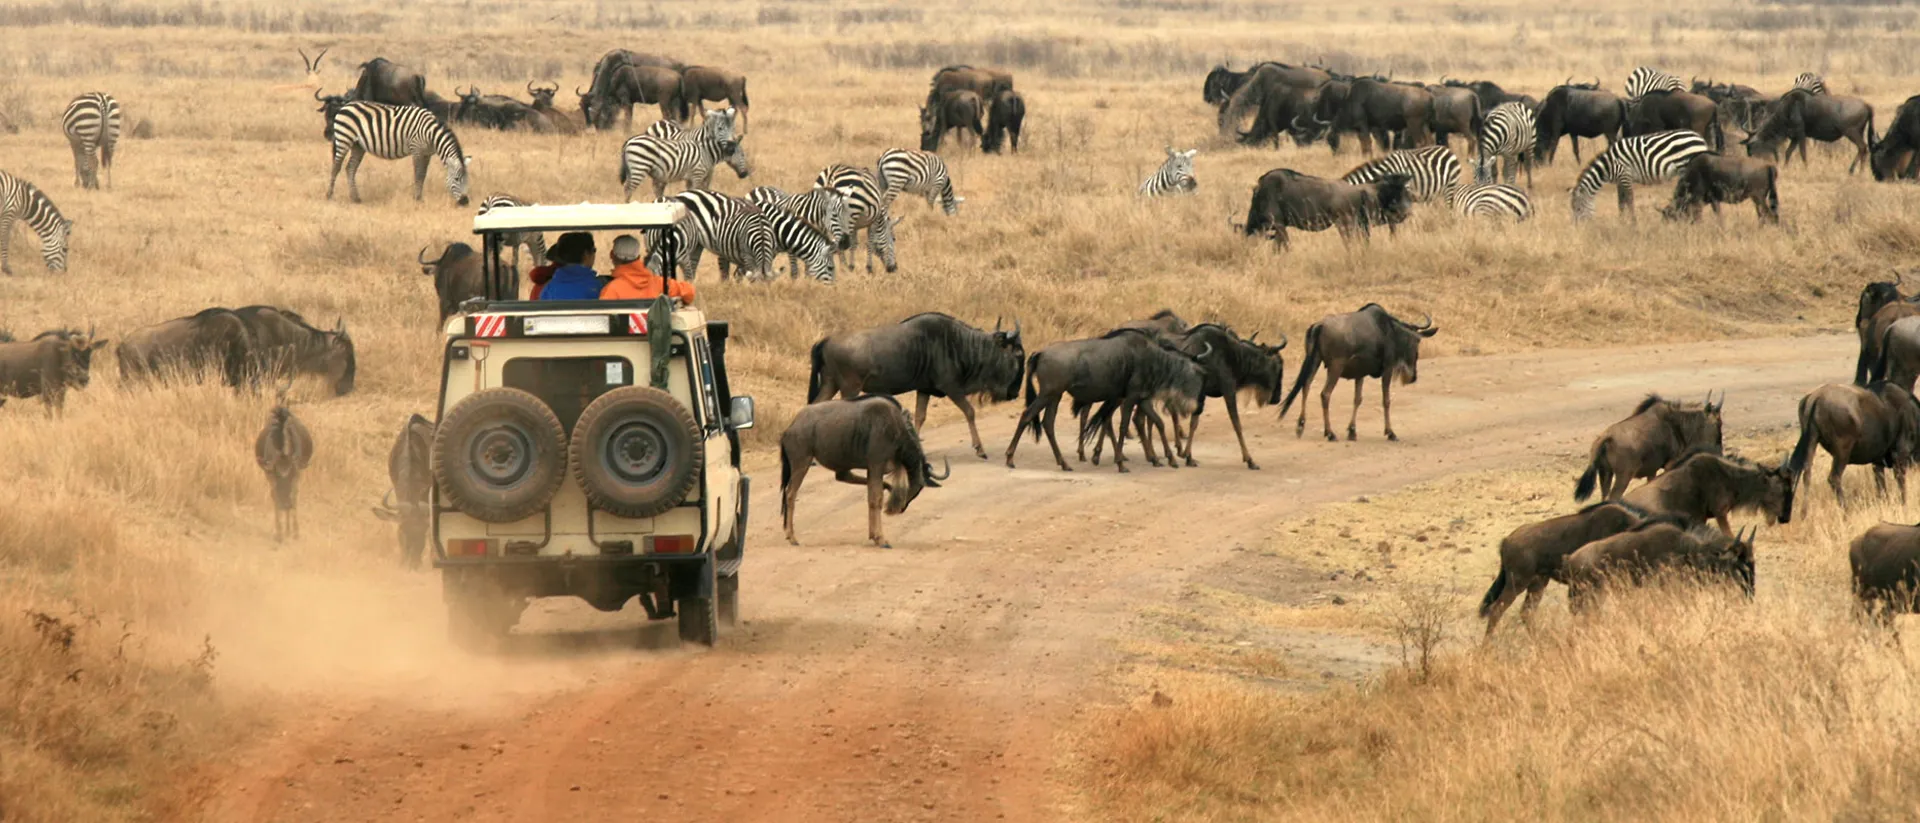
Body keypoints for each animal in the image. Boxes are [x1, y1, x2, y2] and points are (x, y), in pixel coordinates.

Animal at [326, 101, 470, 206]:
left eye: (467, 180)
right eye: (456, 179)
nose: (465, 202)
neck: (431, 133)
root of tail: (345, 106)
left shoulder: (427, 154)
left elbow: (423, 175)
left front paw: (419, 197)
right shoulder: (416, 150)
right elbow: (418, 175)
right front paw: (417, 198)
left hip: (358, 145)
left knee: (350, 168)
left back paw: (355, 198)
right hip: (344, 138)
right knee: (336, 167)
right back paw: (329, 195)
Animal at [1570, 129, 1712, 221]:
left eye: (1578, 209)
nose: (1579, 229)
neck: (1608, 166)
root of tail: (1699, 138)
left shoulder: (1625, 175)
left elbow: (1629, 200)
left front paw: (1633, 224)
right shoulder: (1620, 181)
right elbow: (1621, 202)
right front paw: (1621, 222)